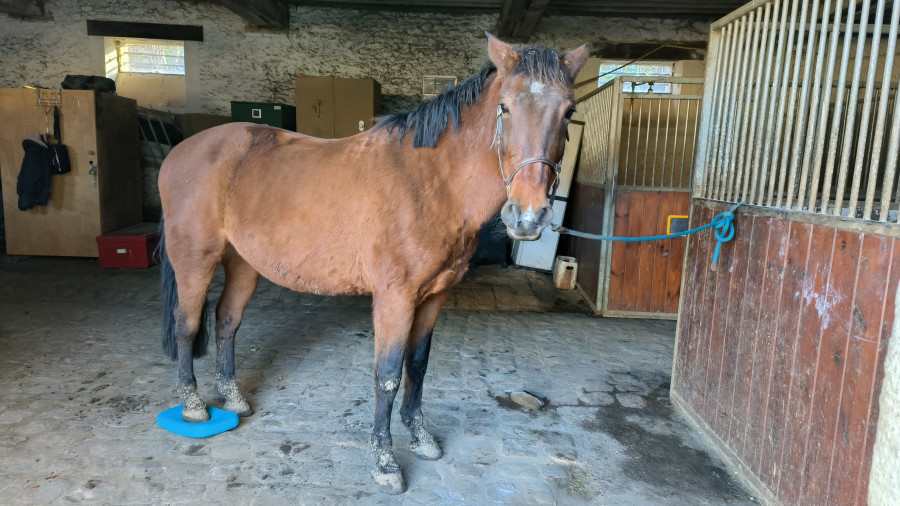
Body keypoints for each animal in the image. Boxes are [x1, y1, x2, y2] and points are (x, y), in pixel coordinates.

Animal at [156, 33, 588, 494]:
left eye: (569, 111)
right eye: (504, 107)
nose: (529, 216)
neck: (430, 183)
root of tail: (180, 152)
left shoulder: (435, 296)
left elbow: (418, 365)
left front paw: (421, 438)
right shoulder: (395, 299)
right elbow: (388, 375)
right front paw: (385, 462)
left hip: (243, 263)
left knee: (226, 320)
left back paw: (233, 398)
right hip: (195, 261)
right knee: (187, 325)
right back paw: (194, 406)